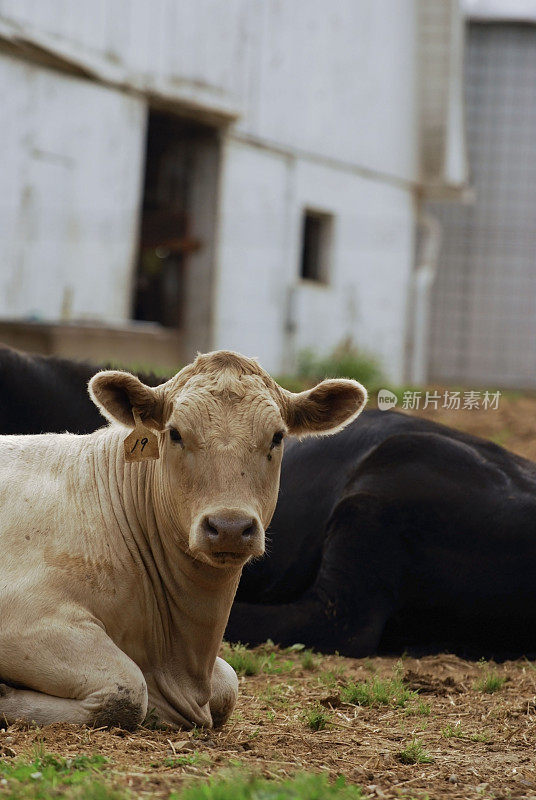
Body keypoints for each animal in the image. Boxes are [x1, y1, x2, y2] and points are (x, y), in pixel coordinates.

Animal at [0, 348, 366, 724]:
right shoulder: (24, 614)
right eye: (175, 433)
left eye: (277, 437)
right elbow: (127, 690)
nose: (230, 527)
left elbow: (228, 683)